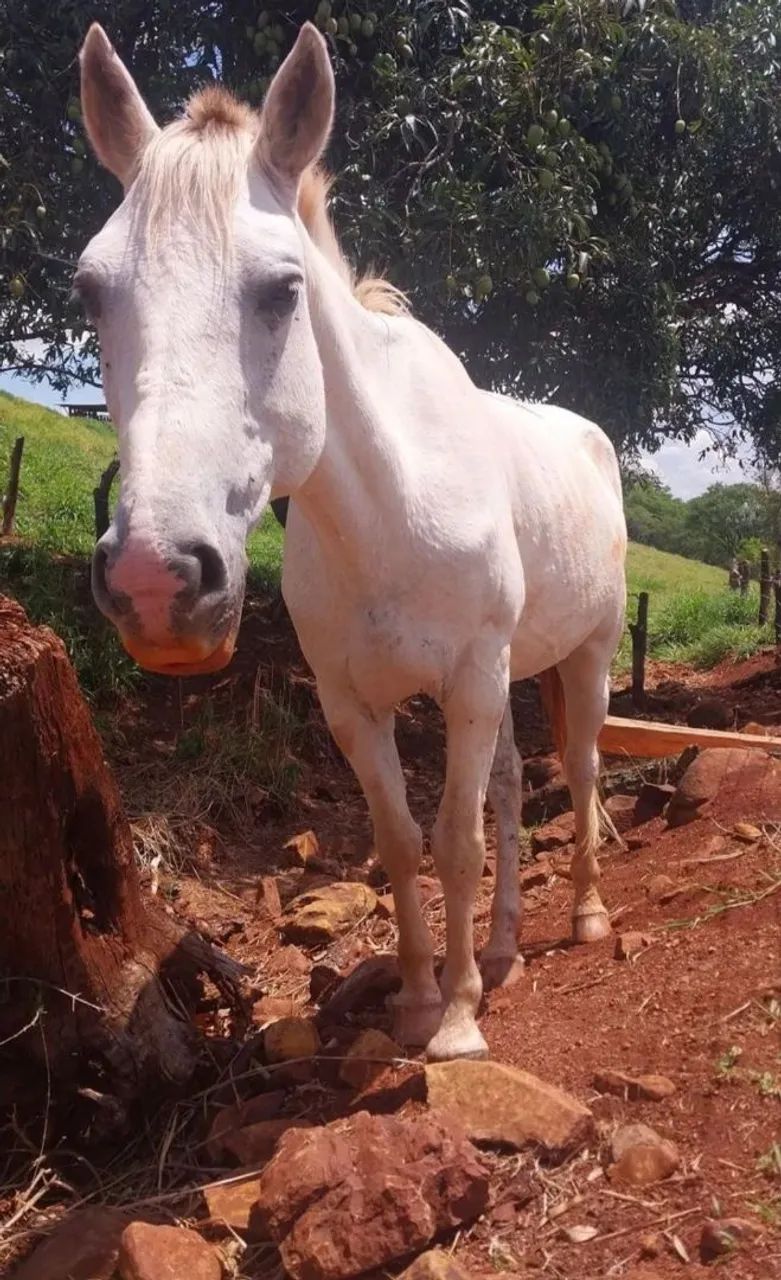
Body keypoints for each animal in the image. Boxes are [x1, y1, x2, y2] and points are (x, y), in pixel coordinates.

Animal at [77, 22, 627, 1061]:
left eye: (281, 290)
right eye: (89, 289)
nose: (157, 583)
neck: (386, 514)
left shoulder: (468, 681)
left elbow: (454, 839)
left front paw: (454, 1023)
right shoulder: (351, 705)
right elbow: (404, 839)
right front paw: (417, 997)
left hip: (586, 653)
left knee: (576, 772)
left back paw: (582, 918)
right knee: (509, 788)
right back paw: (503, 949)